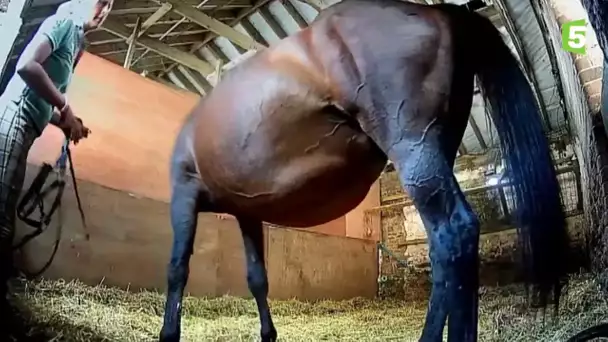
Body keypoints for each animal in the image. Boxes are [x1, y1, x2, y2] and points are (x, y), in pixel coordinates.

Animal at [157, 0, 568, 342]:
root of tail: (440, 12)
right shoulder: (247, 213)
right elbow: (257, 277)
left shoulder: (184, 197)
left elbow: (177, 269)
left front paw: (169, 334)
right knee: (443, 249)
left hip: (415, 154)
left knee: (455, 233)